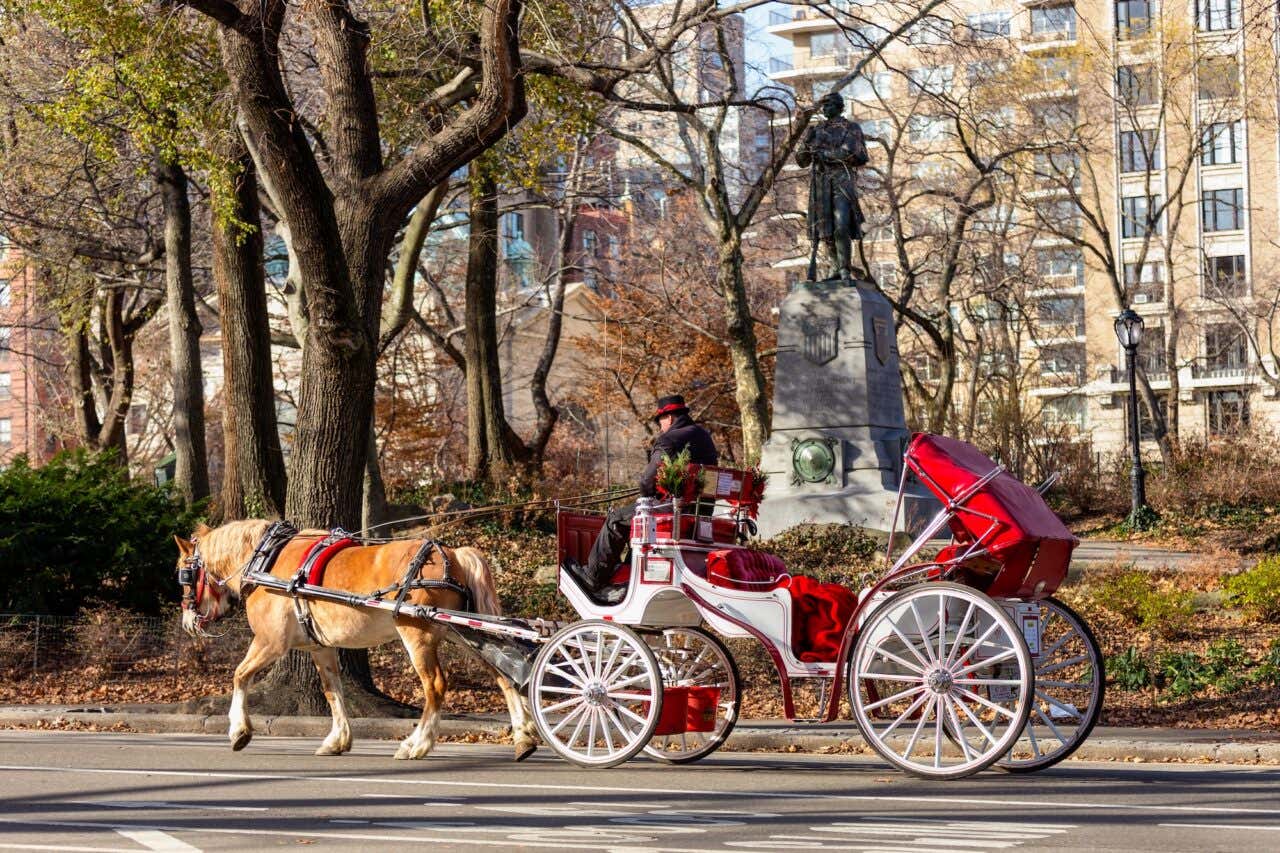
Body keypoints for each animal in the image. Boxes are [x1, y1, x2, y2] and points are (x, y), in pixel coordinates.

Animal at [173, 519, 537, 761]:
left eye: (185, 574)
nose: (188, 622)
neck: (265, 560)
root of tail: (454, 554)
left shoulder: (269, 642)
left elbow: (240, 675)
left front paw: (239, 731)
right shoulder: (319, 647)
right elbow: (332, 691)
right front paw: (337, 740)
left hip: (418, 633)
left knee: (435, 685)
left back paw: (416, 744)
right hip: (464, 631)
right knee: (502, 676)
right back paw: (524, 737)